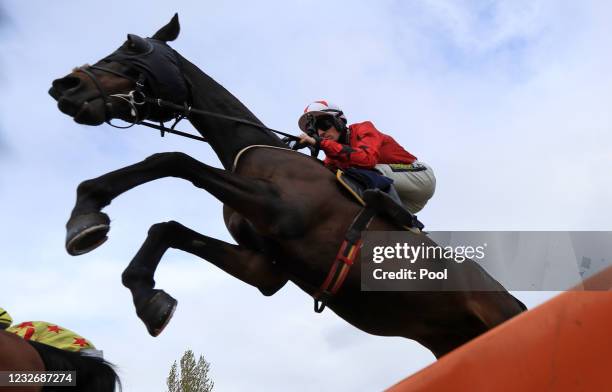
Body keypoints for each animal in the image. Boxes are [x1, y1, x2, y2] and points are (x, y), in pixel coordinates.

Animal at [47, 14, 524, 358]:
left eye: (133, 45)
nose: (65, 86)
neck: (251, 150)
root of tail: (516, 304)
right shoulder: (266, 267)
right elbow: (167, 228)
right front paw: (148, 297)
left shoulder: (282, 213)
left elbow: (173, 160)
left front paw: (87, 211)